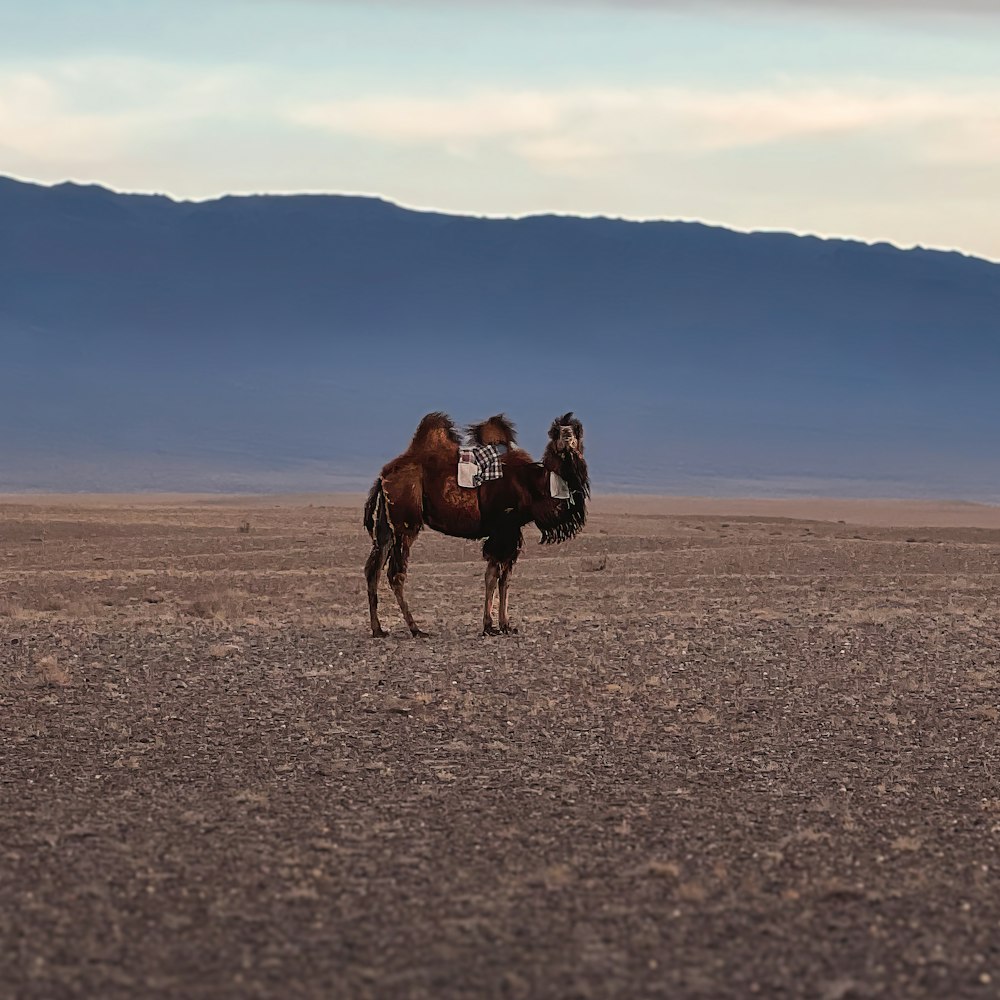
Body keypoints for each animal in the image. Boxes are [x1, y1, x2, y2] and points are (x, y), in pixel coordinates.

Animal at [366, 410, 584, 636]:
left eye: (576, 430)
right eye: (559, 432)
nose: (568, 438)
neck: (533, 484)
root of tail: (384, 477)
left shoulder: (512, 532)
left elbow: (505, 578)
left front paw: (506, 625)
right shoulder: (502, 529)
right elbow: (492, 575)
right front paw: (489, 626)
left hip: (386, 527)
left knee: (373, 569)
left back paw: (378, 629)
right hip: (406, 523)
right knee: (395, 573)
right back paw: (415, 629)